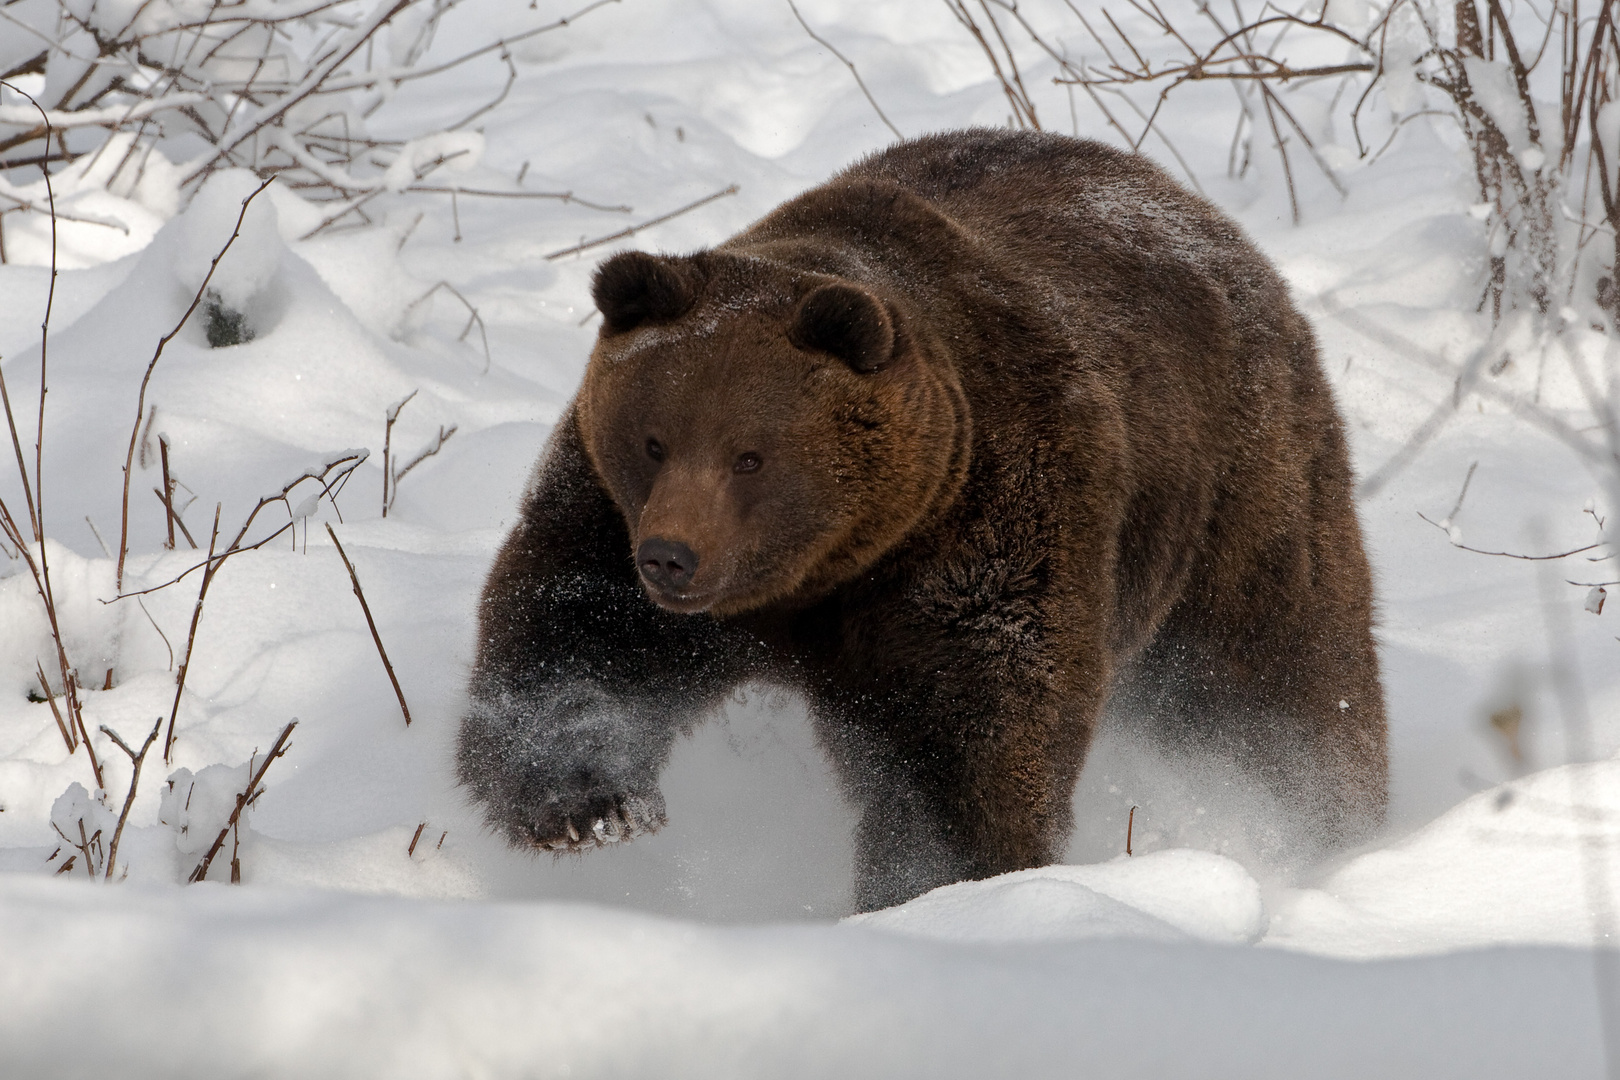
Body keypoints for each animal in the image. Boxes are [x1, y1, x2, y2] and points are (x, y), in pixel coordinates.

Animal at [460, 131, 1393, 919]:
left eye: (750, 455)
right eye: (654, 439)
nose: (670, 559)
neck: (821, 575)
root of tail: (1215, 223)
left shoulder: (977, 533)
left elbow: (966, 738)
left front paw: (935, 884)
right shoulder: (607, 515)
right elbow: (579, 637)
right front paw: (591, 806)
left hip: (1235, 494)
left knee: (1279, 677)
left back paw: (1334, 825)